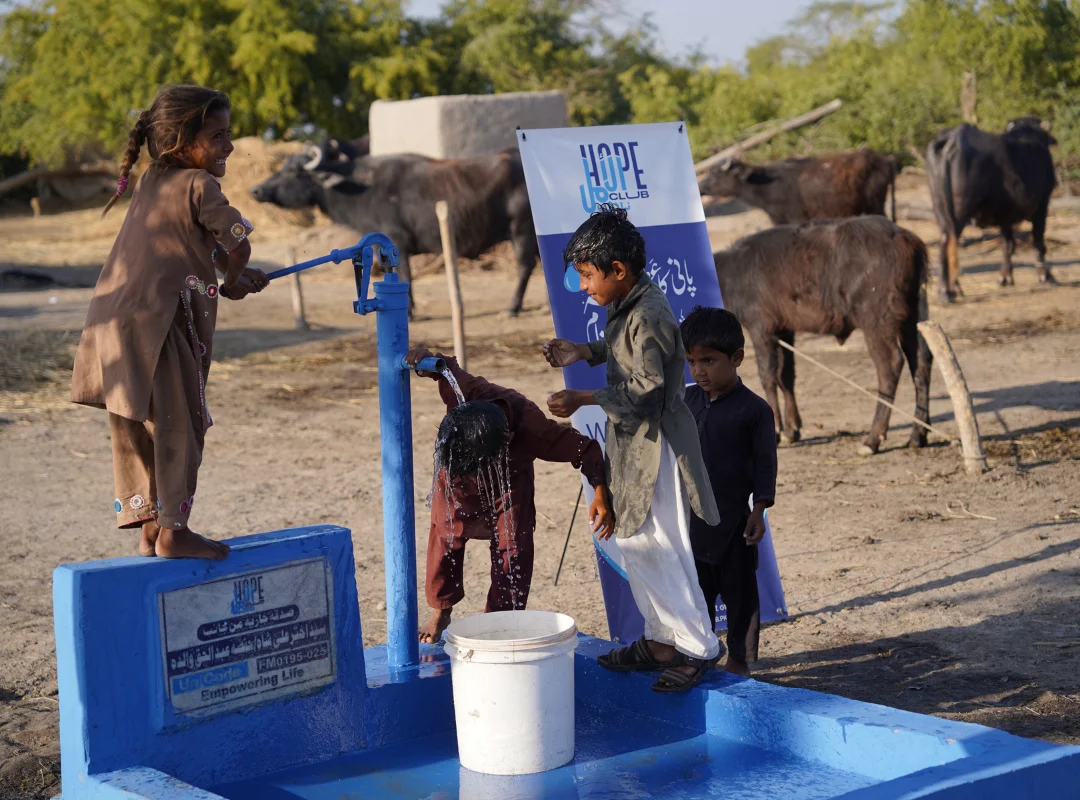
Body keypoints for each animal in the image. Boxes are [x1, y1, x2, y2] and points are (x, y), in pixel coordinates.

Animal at [250, 147, 538, 316]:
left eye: (293, 171)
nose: (256, 190)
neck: (359, 187)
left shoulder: (396, 240)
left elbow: (405, 273)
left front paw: (410, 310)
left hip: (522, 231)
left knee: (525, 266)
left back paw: (512, 307)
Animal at [714, 216, 932, 456]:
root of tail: (905, 239)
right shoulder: (785, 330)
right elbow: (786, 376)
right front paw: (792, 430)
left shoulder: (761, 329)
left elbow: (768, 376)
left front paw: (778, 431)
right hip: (913, 315)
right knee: (921, 362)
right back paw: (917, 435)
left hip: (877, 321)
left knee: (890, 366)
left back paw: (873, 439)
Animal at [925, 117, 1056, 302]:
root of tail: (953, 137)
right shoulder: (1042, 206)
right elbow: (1038, 242)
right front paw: (1045, 276)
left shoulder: (1006, 216)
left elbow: (1007, 245)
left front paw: (1005, 277)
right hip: (959, 211)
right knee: (947, 241)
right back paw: (946, 292)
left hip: (940, 209)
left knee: (949, 242)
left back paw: (955, 288)